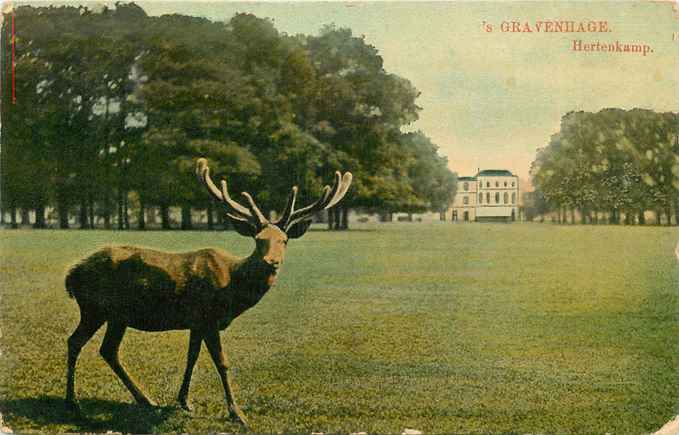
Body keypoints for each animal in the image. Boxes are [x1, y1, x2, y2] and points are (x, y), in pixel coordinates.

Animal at [64, 158, 354, 430]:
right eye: (258, 240)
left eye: (284, 240)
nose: (272, 261)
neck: (233, 289)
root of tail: (71, 274)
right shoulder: (208, 318)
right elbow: (222, 362)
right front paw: (237, 414)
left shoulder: (196, 322)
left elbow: (192, 357)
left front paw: (185, 401)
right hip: (94, 308)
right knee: (75, 342)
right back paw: (74, 404)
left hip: (117, 316)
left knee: (108, 350)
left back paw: (145, 399)